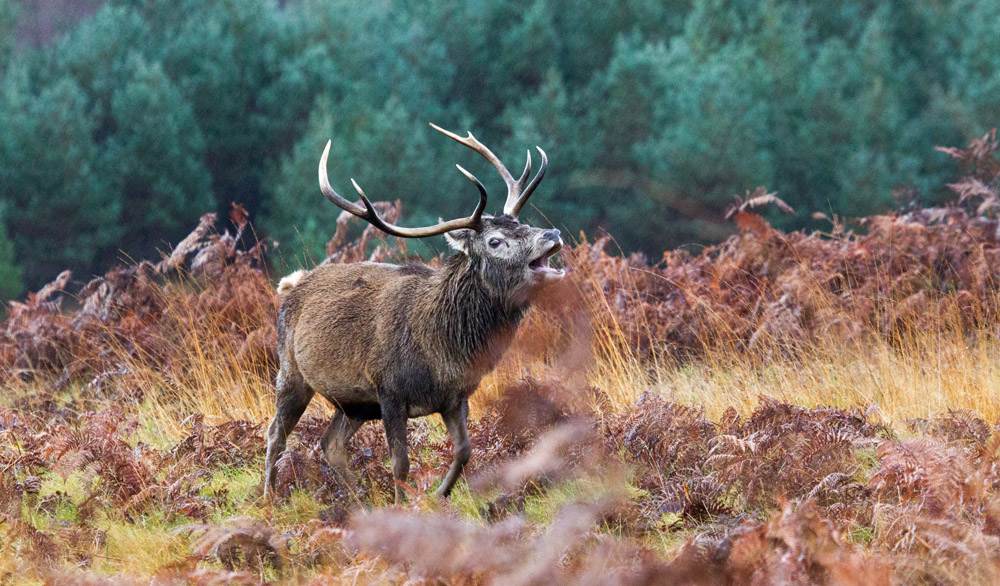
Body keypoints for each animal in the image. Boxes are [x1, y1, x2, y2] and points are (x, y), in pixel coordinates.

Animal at [264, 123, 565, 502]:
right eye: (495, 240)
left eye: (523, 224)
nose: (552, 233)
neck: (442, 349)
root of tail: (292, 284)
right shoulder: (389, 390)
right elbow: (400, 465)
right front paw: (402, 506)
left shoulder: (456, 397)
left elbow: (464, 450)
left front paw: (438, 496)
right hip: (291, 371)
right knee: (276, 434)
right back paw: (269, 497)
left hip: (354, 404)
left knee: (329, 444)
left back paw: (360, 502)